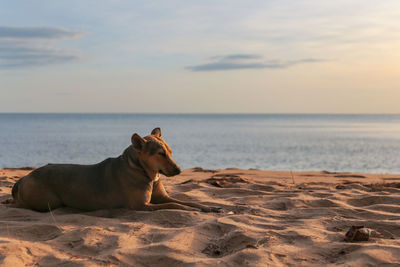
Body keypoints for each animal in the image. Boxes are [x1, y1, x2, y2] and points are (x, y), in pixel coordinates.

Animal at [12, 129, 220, 214]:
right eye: (160, 154)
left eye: (170, 151)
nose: (179, 170)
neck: (141, 170)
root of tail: (23, 178)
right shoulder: (141, 206)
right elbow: (174, 205)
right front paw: (191, 210)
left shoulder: (162, 197)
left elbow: (186, 201)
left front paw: (208, 207)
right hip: (48, 200)